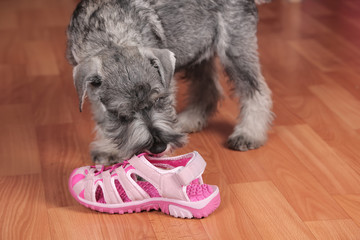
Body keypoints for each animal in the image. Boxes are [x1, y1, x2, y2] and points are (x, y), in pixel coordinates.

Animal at [66, 0, 272, 164]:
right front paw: (109, 148)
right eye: (121, 115)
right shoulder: (93, 94)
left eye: (160, 100)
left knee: (256, 90)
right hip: (197, 50)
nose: (158, 147)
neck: (110, 39)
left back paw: (248, 133)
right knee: (208, 88)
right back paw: (191, 119)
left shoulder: (168, 83)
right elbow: (103, 120)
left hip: (234, 48)